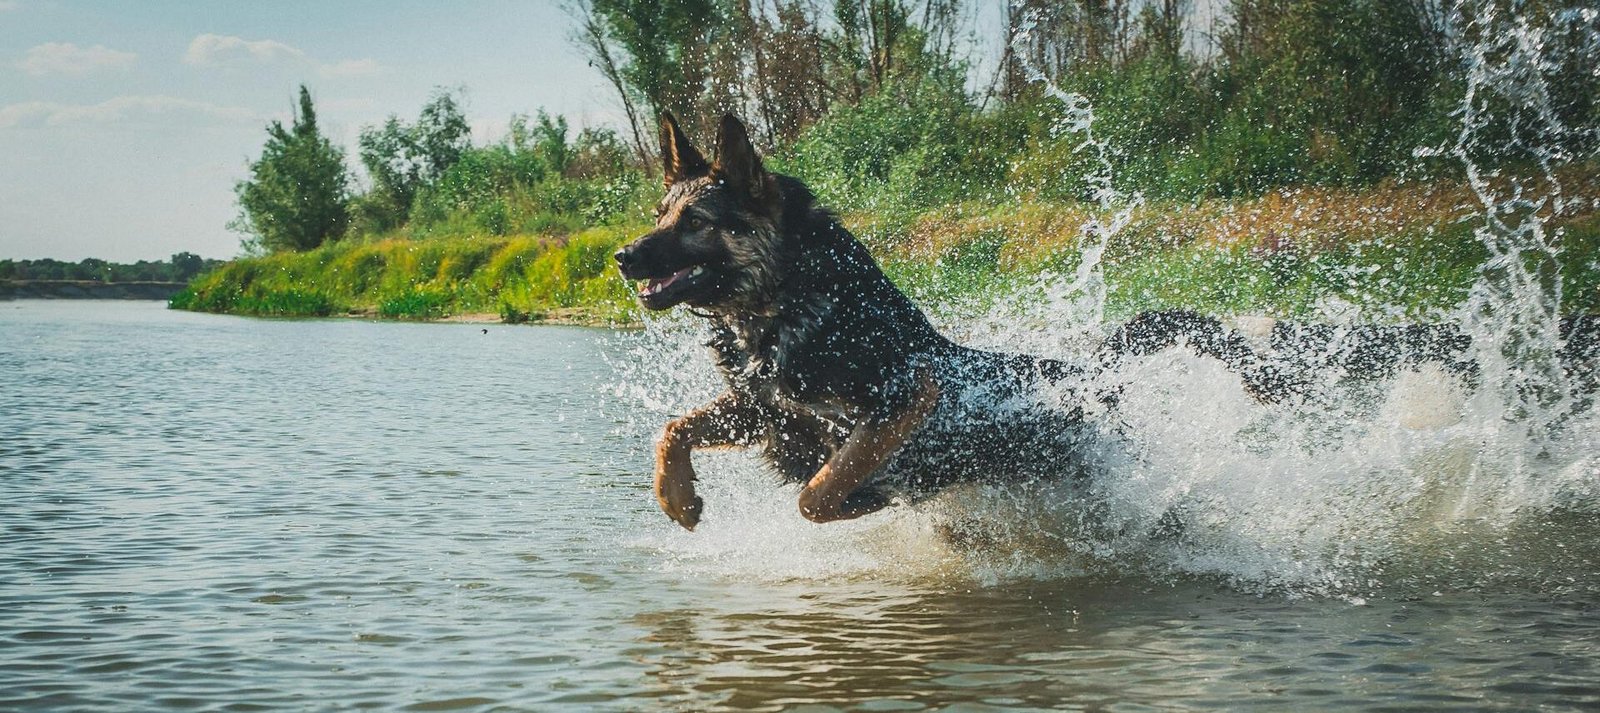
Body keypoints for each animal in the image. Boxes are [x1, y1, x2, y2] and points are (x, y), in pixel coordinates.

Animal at [611, 114, 1600, 530]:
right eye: (660, 211)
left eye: (695, 221)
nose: (621, 256)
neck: (789, 303)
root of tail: (1091, 370)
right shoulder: (765, 409)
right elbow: (677, 427)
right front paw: (676, 497)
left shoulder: (908, 396)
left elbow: (825, 483)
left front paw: (852, 500)